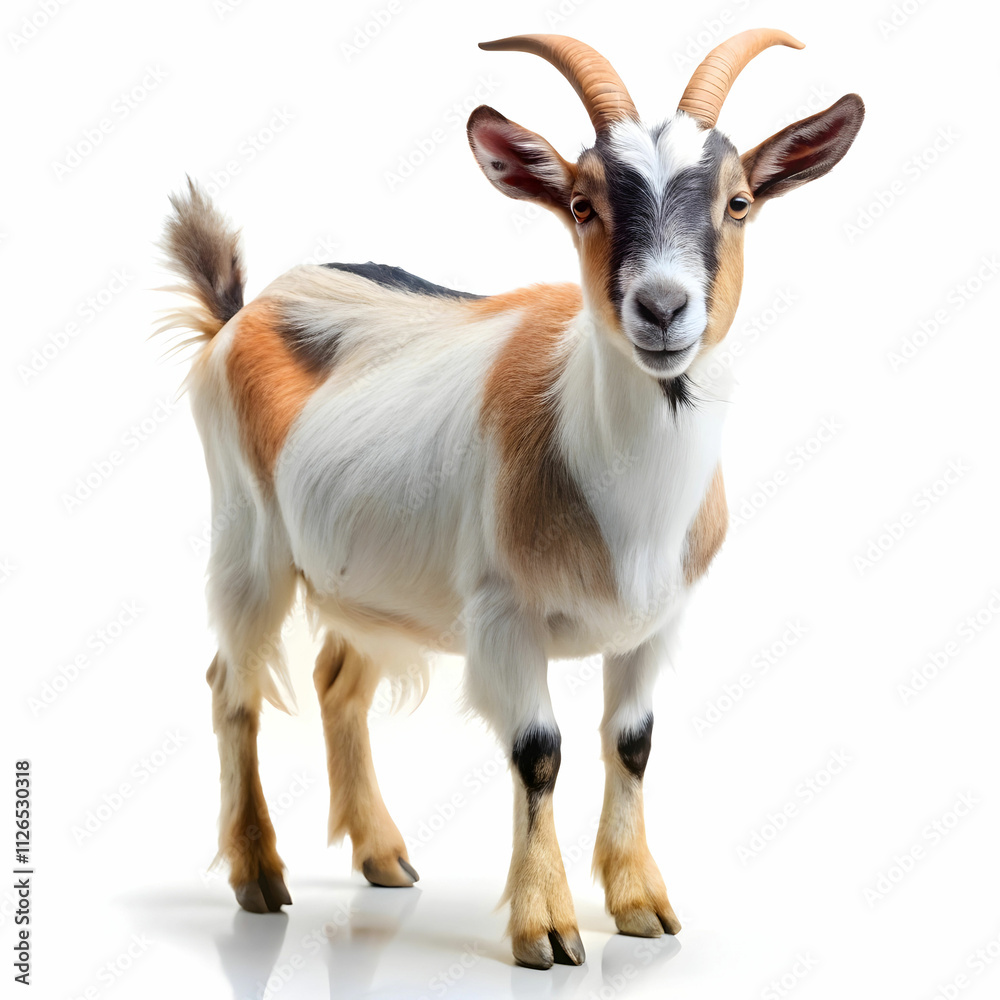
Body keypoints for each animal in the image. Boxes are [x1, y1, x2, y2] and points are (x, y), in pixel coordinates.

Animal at [160, 30, 863, 969]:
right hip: (248, 543)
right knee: (231, 686)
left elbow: (632, 744)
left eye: (739, 201)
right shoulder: (502, 616)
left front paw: (641, 903)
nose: (661, 308)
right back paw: (258, 876)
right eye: (582, 204)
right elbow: (539, 751)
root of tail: (241, 311)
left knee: (337, 681)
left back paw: (382, 857)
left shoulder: (658, 623)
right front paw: (547, 925)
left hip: (372, 582)